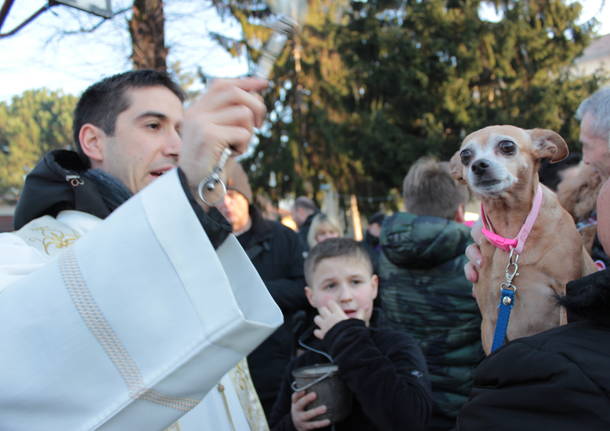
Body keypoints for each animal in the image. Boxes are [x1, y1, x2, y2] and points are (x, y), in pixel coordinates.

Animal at [446, 125, 592, 354]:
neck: (512, 232)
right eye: (465, 156)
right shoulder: (490, 320)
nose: (478, 165)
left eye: (507, 146)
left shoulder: (566, 299)